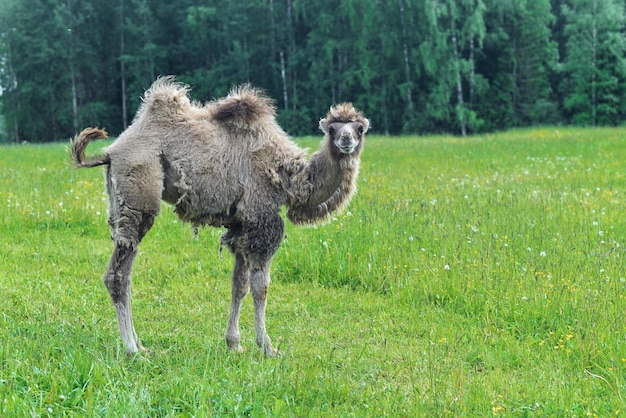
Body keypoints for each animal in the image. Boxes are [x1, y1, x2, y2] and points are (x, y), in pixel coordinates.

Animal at [69, 76, 368, 356]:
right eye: (332, 129)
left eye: (360, 128)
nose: (346, 141)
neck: (287, 178)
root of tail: (111, 152)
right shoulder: (262, 218)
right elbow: (261, 286)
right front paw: (267, 347)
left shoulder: (242, 224)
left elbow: (239, 284)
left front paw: (234, 343)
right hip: (139, 195)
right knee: (117, 274)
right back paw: (132, 350)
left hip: (118, 202)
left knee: (126, 270)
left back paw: (141, 346)